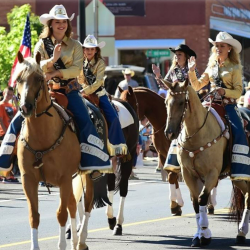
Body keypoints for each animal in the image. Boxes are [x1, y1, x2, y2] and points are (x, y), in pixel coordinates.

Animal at [14, 51, 94, 250]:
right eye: (18, 78)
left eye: (38, 78)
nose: (25, 107)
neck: (42, 135)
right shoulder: (28, 179)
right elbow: (34, 216)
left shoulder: (64, 178)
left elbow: (61, 214)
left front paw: (62, 244)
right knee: (73, 204)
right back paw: (75, 240)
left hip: (88, 173)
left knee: (87, 204)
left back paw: (81, 240)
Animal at [164, 79, 250, 247]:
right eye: (166, 102)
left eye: (181, 102)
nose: (169, 133)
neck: (197, 134)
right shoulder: (188, 174)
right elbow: (195, 202)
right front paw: (198, 236)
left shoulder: (212, 173)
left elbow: (202, 198)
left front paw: (204, 234)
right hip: (237, 177)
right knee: (247, 195)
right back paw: (242, 232)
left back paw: (241, 232)